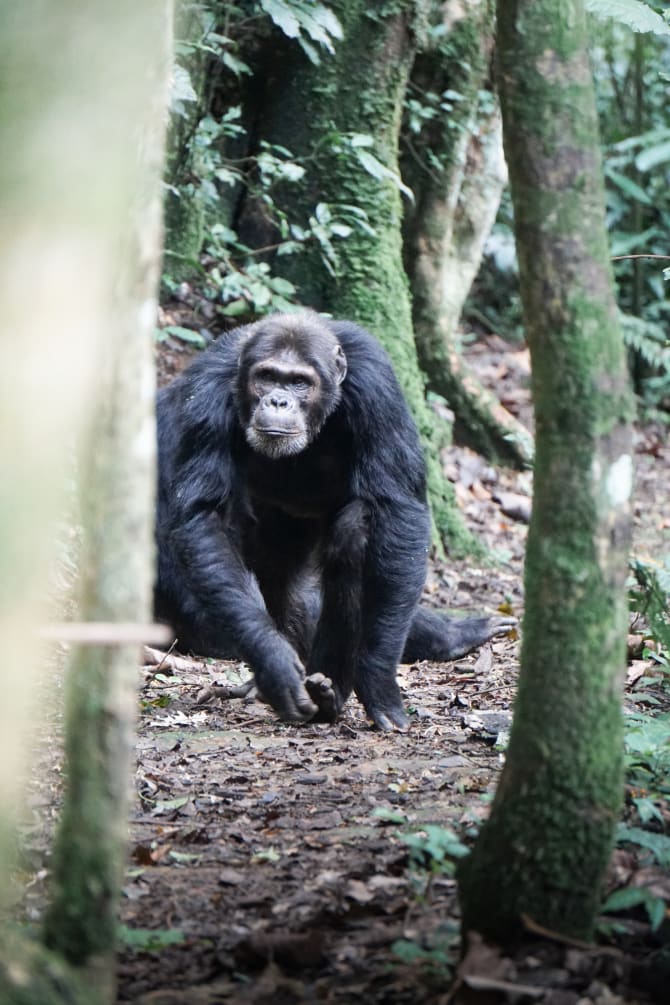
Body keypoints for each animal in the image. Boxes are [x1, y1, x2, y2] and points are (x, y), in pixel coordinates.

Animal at [155, 313, 514, 731]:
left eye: (299, 382)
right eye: (266, 377)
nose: (278, 400)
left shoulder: (377, 384)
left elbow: (398, 507)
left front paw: (378, 682)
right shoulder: (206, 394)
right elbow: (205, 518)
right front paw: (272, 659)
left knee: (353, 535)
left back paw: (329, 691)